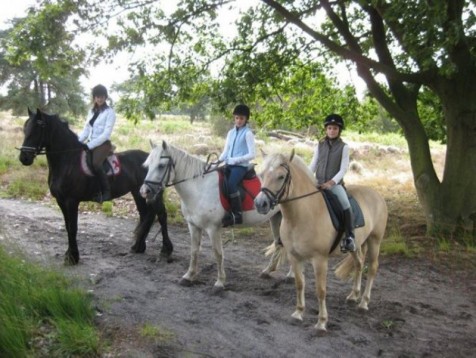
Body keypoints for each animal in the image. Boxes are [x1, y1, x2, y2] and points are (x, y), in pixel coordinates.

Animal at [20, 107, 175, 264]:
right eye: (25, 129)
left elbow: (72, 227)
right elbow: (67, 226)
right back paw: (138, 246)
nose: (24, 158)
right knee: (145, 215)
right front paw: (69, 254)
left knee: (161, 215)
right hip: (138, 193)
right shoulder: (61, 201)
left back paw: (165, 250)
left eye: (37, 129)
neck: (67, 161)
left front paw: (73, 257)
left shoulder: (71, 201)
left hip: (153, 193)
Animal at [140, 141, 282, 290]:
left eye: (161, 166)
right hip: (276, 218)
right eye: (148, 166)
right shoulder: (193, 226)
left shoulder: (213, 228)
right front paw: (188, 276)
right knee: (279, 244)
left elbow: (218, 253)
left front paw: (220, 282)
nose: (144, 191)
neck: (199, 188)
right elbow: (194, 250)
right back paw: (268, 271)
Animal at [253, 150, 386, 330]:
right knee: (359, 264)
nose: (260, 203)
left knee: (372, 268)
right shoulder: (295, 257)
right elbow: (299, 284)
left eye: (281, 176)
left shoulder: (320, 259)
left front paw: (322, 322)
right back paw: (353, 295)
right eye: (262, 174)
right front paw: (298, 313)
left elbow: (321, 289)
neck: (302, 215)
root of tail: (377, 195)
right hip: (356, 245)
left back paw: (364, 303)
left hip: (375, 241)